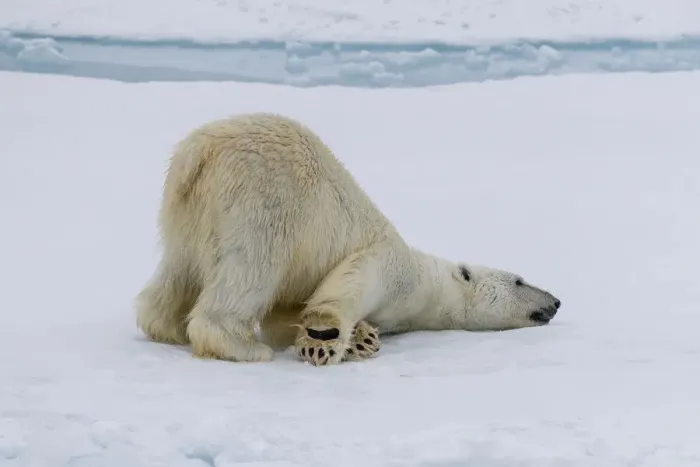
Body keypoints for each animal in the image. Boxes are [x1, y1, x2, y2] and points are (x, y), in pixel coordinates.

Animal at [135, 112, 561, 366]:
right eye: (520, 280)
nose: (555, 301)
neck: (427, 283)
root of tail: (200, 150)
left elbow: (286, 314)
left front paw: (362, 338)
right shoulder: (389, 263)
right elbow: (348, 282)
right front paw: (324, 337)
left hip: (187, 215)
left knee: (177, 273)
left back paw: (166, 327)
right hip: (263, 204)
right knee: (250, 272)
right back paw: (244, 347)